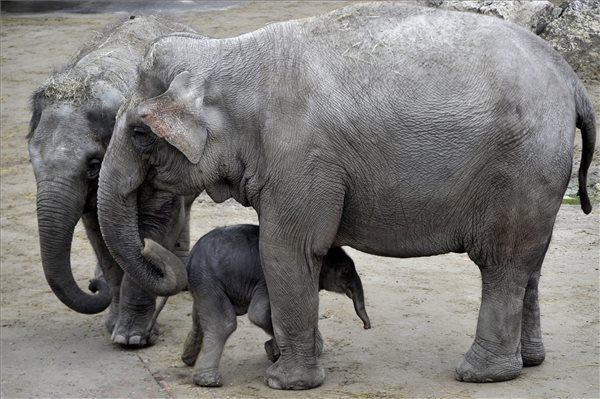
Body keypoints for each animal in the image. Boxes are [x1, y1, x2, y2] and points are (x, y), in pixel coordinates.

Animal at [27, 15, 197, 346]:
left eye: (94, 164)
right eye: (31, 162)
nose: (93, 285)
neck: (100, 77)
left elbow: (155, 221)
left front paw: (132, 338)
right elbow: (99, 231)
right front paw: (114, 325)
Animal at [178, 227, 368, 390]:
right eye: (345, 270)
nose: (367, 326)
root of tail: (191, 256)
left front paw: (274, 351)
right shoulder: (266, 280)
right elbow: (259, 314)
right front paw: (275, 351)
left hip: (202, 283)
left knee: (199, 315)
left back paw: (188, 359)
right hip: (207, 279)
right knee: (223, 323)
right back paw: (208, 381)